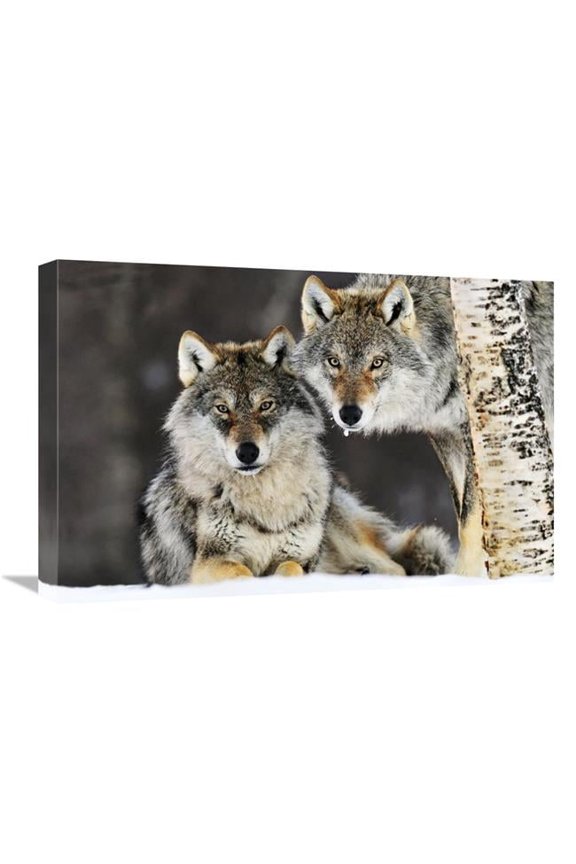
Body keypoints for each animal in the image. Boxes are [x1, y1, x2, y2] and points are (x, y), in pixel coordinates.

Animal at [139, 326, 453, 584]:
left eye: (266, 405)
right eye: (222, 409)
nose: (247, 452)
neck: (265, 500)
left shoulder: (299, 557)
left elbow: (290, 569)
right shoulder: (208, 562)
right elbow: (241, 573)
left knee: (397, 569)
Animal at [293, 273, 554, 576]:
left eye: (377, 363)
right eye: (334, 362)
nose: (349, 414)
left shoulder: (474, 436)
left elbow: (469, 520)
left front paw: (463, 577)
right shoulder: (445, 434)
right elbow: (461, 513)